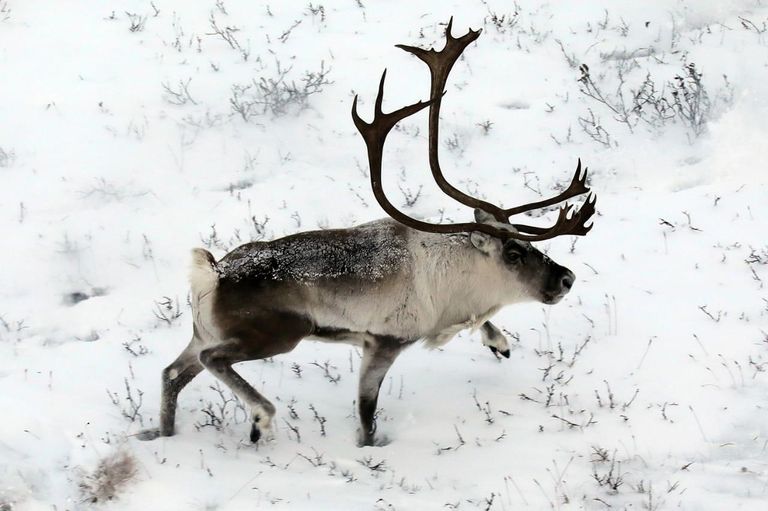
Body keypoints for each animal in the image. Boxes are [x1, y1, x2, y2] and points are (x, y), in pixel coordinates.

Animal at [139, 19, 596, 447]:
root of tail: (213, 275)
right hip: (277, 333)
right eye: (514, 253)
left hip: (202, 332)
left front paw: (499, 341)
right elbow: (366, 414)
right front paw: (369, 449)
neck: (450, 282)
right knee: (212, 361)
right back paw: (259, 419)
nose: (567, 278)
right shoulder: (383, 341)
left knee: (171, 374)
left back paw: (165, 435)